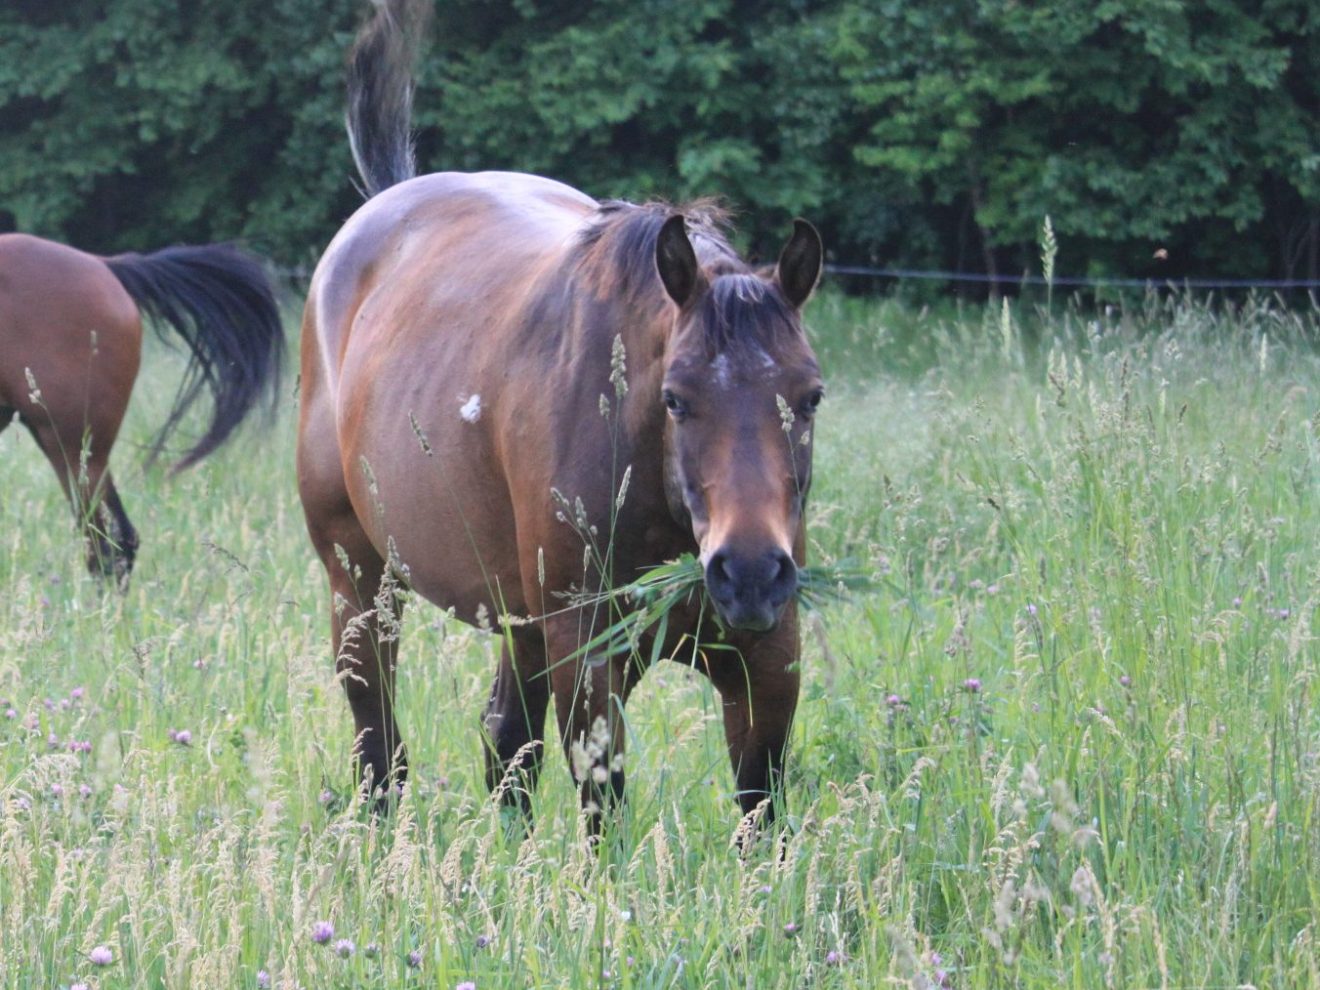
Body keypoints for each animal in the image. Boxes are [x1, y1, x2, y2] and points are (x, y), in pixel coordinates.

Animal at [297, 0, 824, 835]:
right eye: (675, 398)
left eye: (810, 396)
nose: (745, 573)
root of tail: (384, 203)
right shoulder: (591, 661)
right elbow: (603, 814)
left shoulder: (768, 663)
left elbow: (758, 814)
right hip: (358, 579)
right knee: (379, 744)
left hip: (519, 618)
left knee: (505, 744)